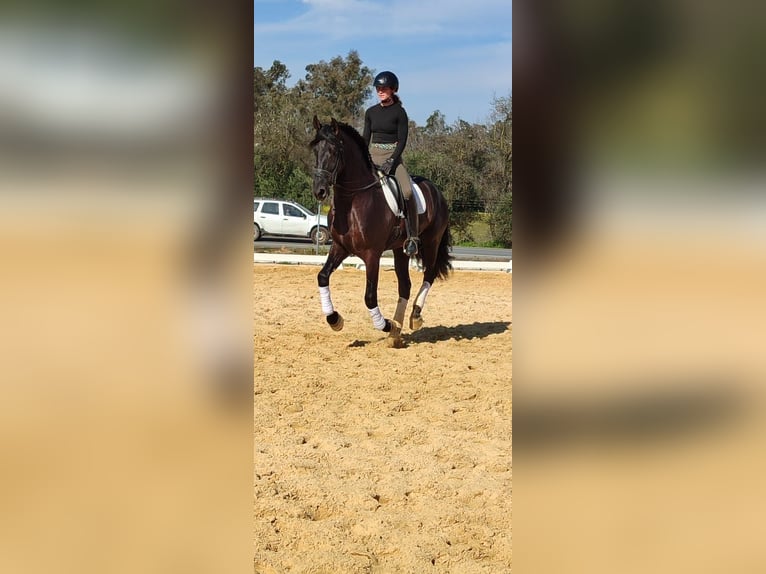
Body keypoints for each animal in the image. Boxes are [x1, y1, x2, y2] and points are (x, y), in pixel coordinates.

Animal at [309, 115, 452, 346]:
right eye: (315, 150)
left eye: (333, 151)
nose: (319, 191)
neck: (354, 200)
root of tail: (436, 190)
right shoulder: (340, 247)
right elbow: (322, 276)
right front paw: (335, 320)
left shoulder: (372, 254)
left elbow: (369, 296)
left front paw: (385, 325)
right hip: (400, 250)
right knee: (405, 285)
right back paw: (396, 333)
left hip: (431, 242)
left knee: (428, 275)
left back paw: (414, 316)